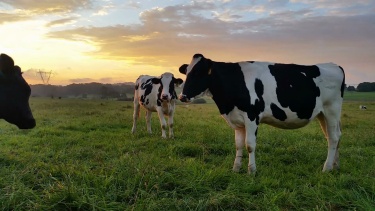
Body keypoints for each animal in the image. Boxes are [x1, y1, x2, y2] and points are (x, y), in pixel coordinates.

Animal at [179, 53, 346, 174]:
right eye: (186, 72)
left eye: (198, 73)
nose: (182, 96)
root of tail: (334, 65)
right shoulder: (237, 119)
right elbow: (238, 145)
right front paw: (235, 169)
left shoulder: (252, 116)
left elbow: (250, 145)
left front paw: (251, 171)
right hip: (322, 114)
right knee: (334, 136)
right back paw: (335, 166)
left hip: (332, 109)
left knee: (333, 138)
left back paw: (326, 168)